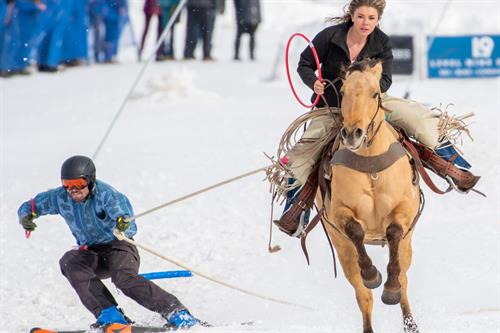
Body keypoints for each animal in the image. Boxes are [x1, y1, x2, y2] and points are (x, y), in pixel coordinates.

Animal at [318, 59, 420, 332]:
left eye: (375, 93)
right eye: (343, 92)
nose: (353, 133)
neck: (370, 165)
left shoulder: (403, 210)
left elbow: (394, 232)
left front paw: (391, 289)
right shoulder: (340, 212)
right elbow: (355, 231)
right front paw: (373, 275)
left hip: (407, 244)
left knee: (405, 278)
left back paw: (409, 321)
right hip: (341, 248)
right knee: (362, 294)